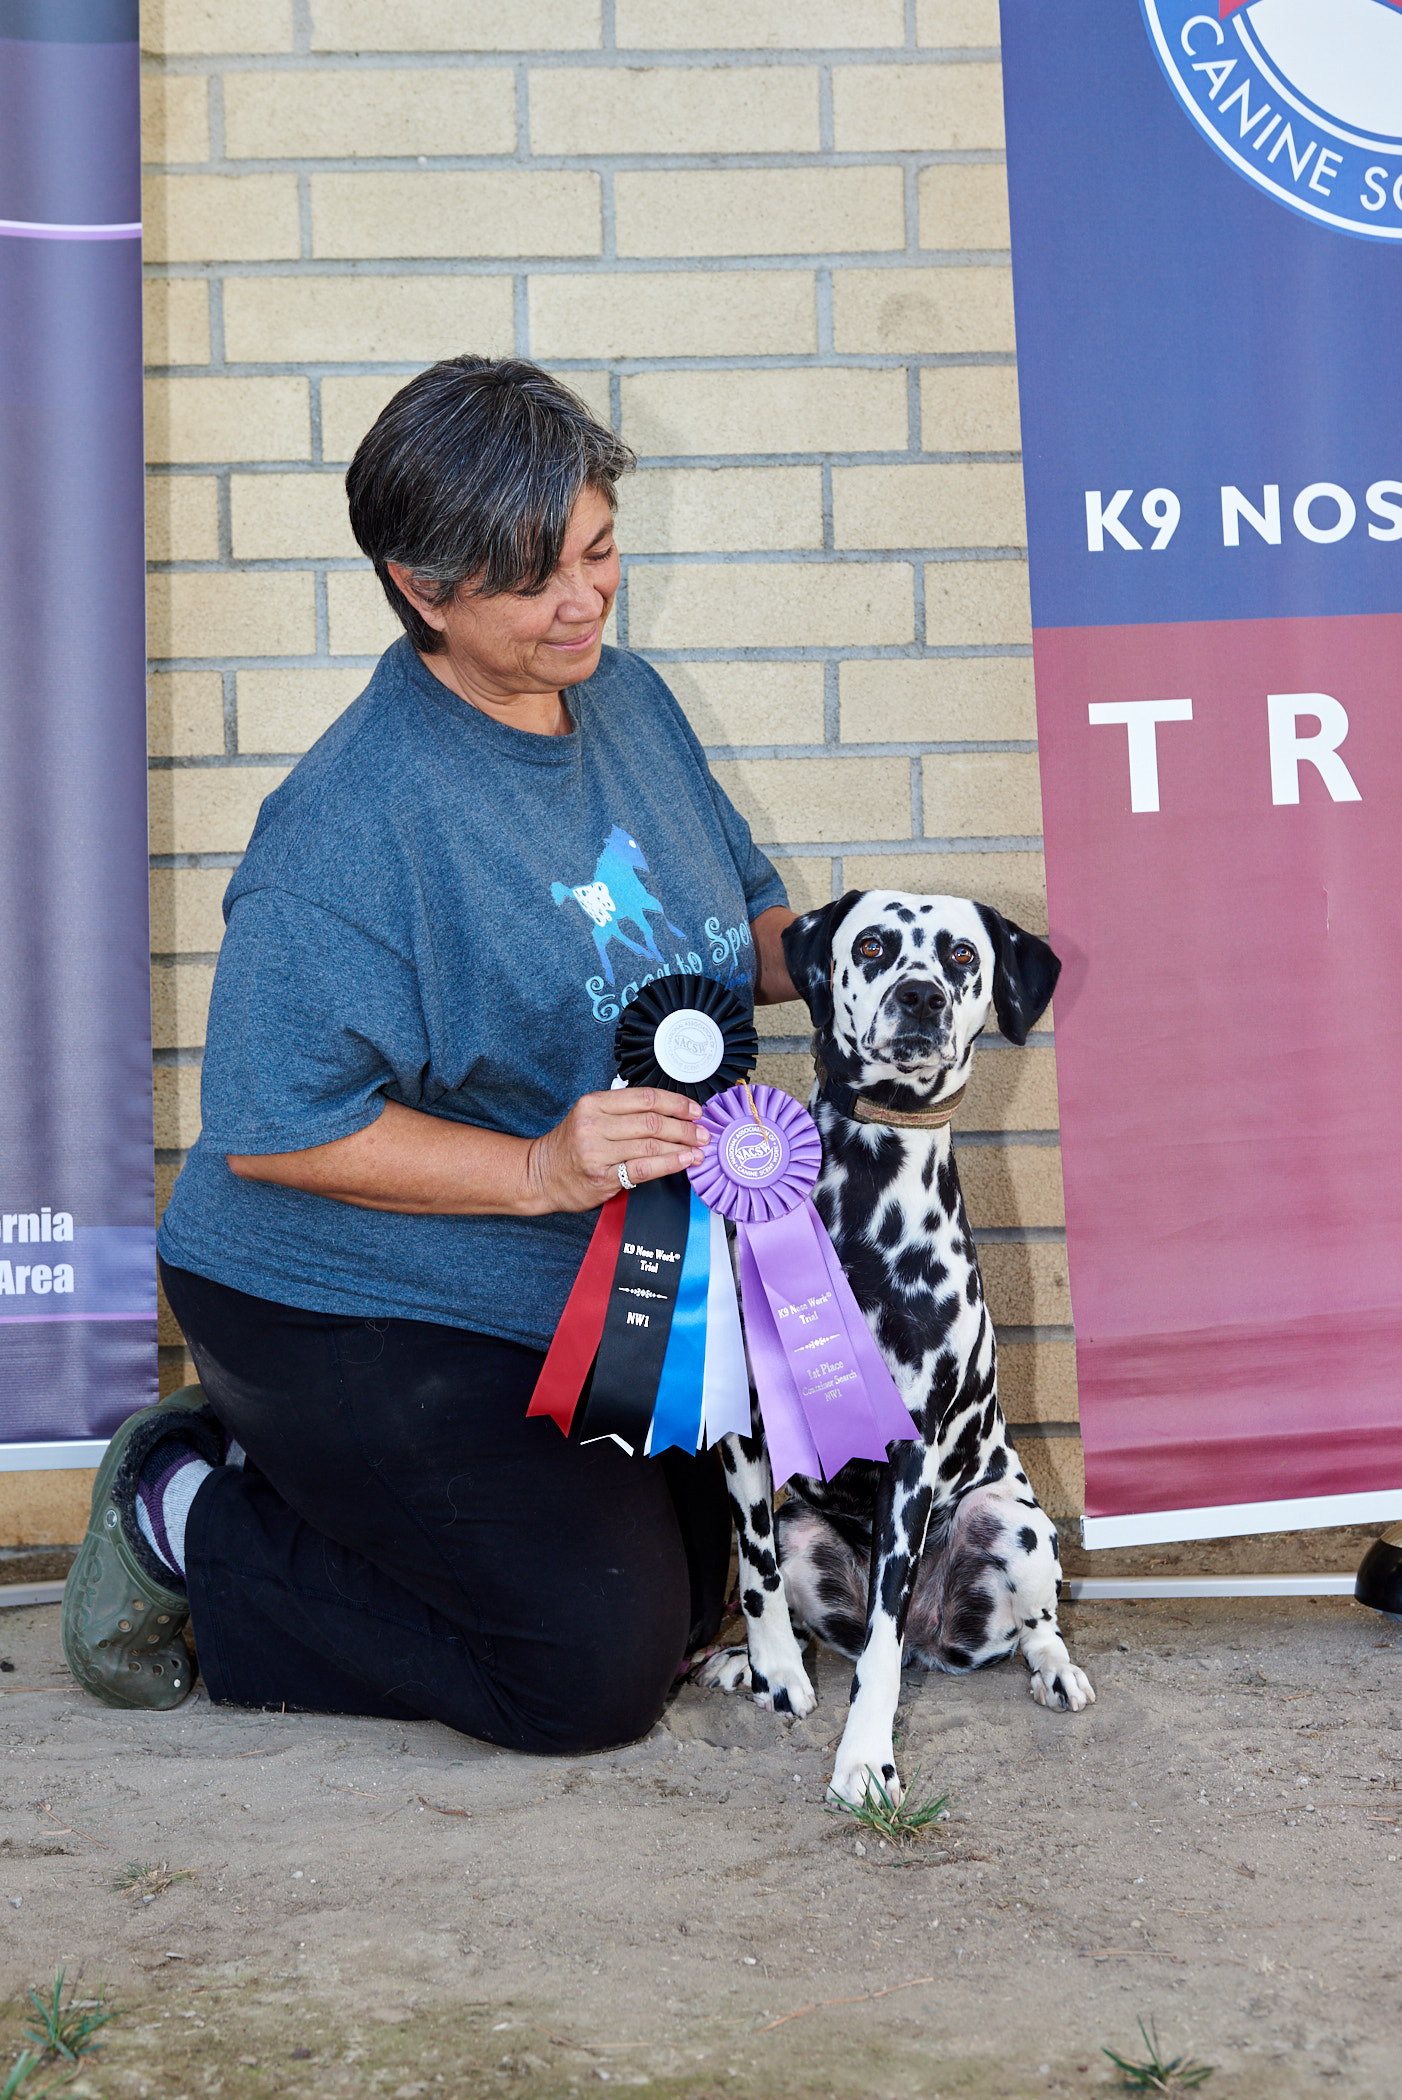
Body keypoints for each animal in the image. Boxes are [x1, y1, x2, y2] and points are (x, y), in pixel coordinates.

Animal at [696, 890, 1094, 1807]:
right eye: (874, 944)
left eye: (961, 954)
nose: (921, 997)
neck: (868, 1206)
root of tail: (933, 1640)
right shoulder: (745, 1428)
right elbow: (755, 1569)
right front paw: (773, 1668)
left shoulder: (910, 1453)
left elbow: (877, 1645)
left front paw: (864, 1759)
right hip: (807, 1528)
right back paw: (741, 1661)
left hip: (1015, 1522)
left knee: (1035, 1623)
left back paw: (1056, 1668)